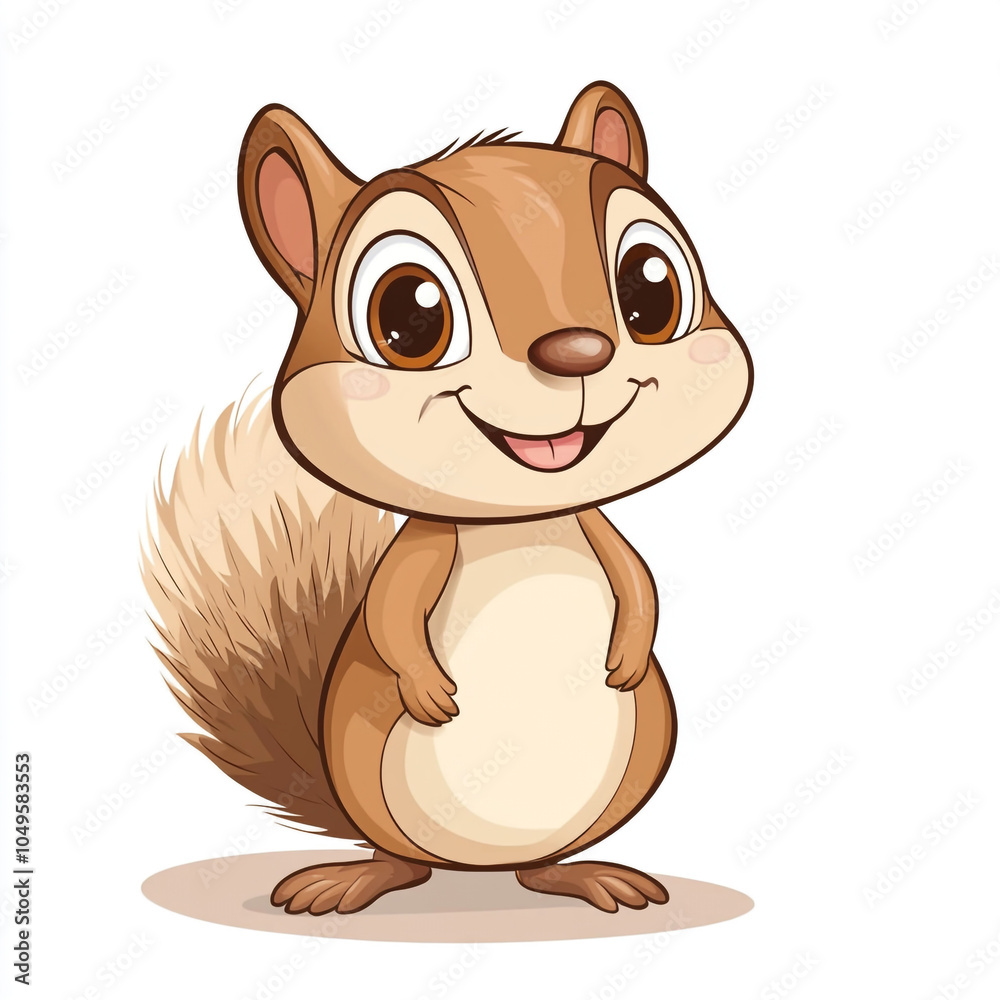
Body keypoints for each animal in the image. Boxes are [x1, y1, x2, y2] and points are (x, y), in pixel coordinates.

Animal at [142, 81, 752, 917]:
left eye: (651, 287)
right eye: (409, 312)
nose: (577, 352)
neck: (524, 523)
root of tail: (480, 872)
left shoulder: (597, 529)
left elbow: (638, 578)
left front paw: (628, 653)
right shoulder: (424, 546)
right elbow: (390, 610)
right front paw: (430, 689)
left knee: (541, 864)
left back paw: (586, 874)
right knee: (398, 859)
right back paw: (355, 879)